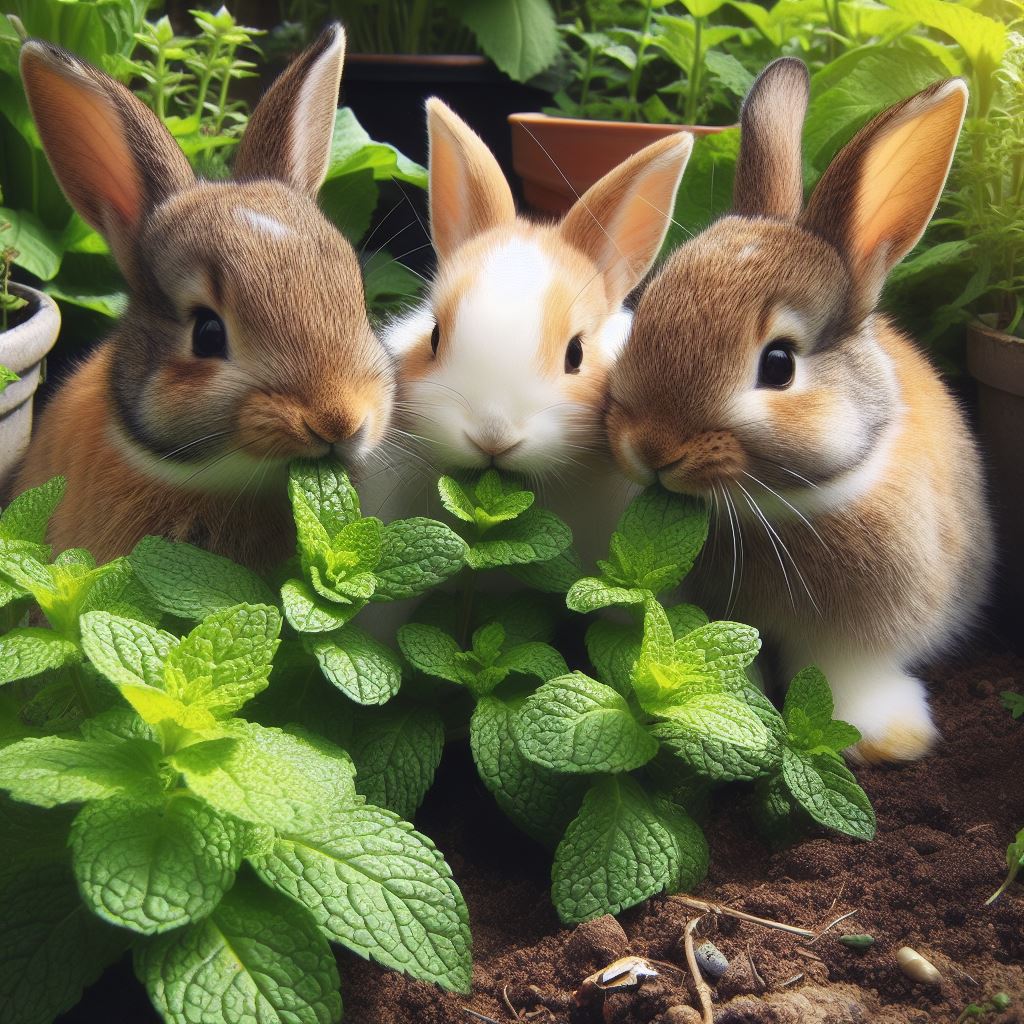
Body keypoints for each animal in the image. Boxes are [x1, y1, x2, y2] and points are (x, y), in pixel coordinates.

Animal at [598, 56, 991, 761]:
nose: (649, 447)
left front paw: (890, 742)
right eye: (645, 314)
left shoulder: (862, 637)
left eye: (779, 364)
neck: (781, 508)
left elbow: (846, 679)